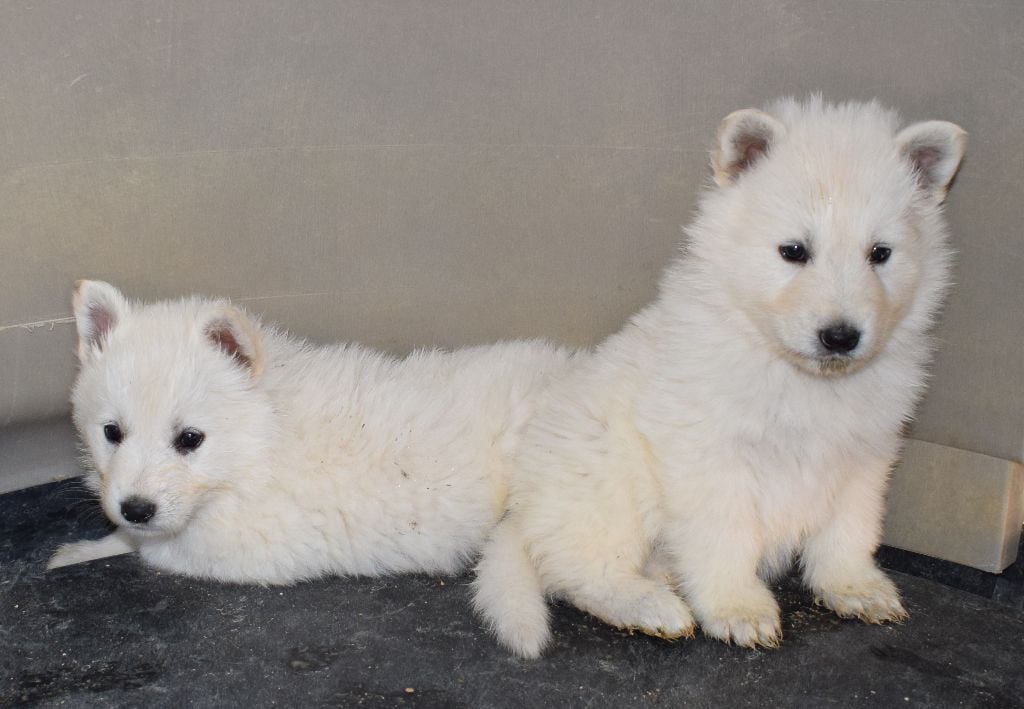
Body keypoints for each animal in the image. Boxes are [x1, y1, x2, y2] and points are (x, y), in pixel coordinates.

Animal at [48, 280, 569, 586]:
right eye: (112, 432)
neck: (262, 443)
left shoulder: (254, 545)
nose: (135, 508)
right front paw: (81, 549)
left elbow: (155, 547)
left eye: (190, 439)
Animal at [471, 96, 966, 655]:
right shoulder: (710, 457)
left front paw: (854, 586)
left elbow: (849, 529)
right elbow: (726, 537)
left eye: (880, 254)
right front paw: (738, 608)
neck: (794, 373)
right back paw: (652, 605)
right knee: (580, 568)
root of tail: (523, 514)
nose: (840, 337)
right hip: (607, 478)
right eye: (793, 251)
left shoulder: (865, 455)